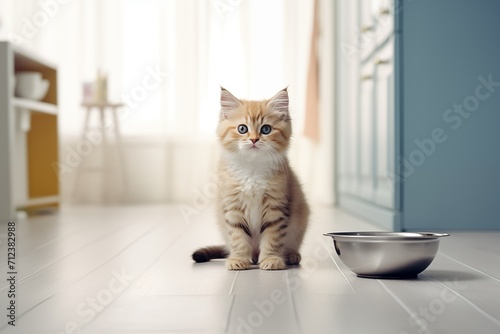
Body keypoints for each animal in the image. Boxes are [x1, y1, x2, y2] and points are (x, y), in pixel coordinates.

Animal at [191, 87, 308, 270]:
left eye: (266, 129)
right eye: (242, 129)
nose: (254, 139)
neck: (252, 170)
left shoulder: (276, 208)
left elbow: (272, 238)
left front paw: (271, 259)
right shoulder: (233, 208)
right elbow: (238, 237)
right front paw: (239, 259)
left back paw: (291, 255)